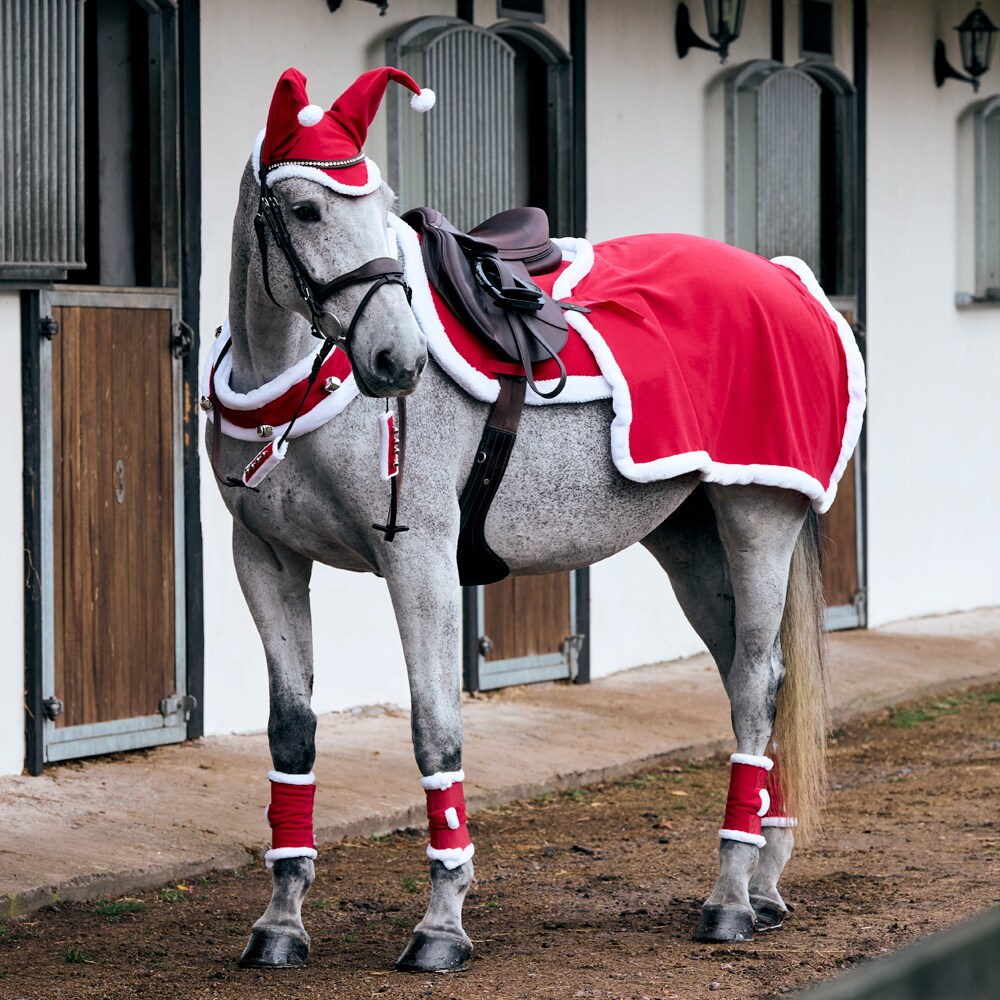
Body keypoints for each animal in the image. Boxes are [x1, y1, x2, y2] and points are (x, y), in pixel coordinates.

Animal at [203, 66, 860, 972]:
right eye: (306, 210)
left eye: (385, 206)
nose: (398, 361)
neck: (297, 383)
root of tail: (791, 281)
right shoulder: (263, 559)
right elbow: (291, 735)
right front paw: (280, 923)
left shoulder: (421, 563)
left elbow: (435, 730)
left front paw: (441, 925)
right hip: (692, 544)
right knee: (754, 682)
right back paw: (761, 885)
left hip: (756, 521)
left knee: (758, 688)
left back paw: (729, 900)